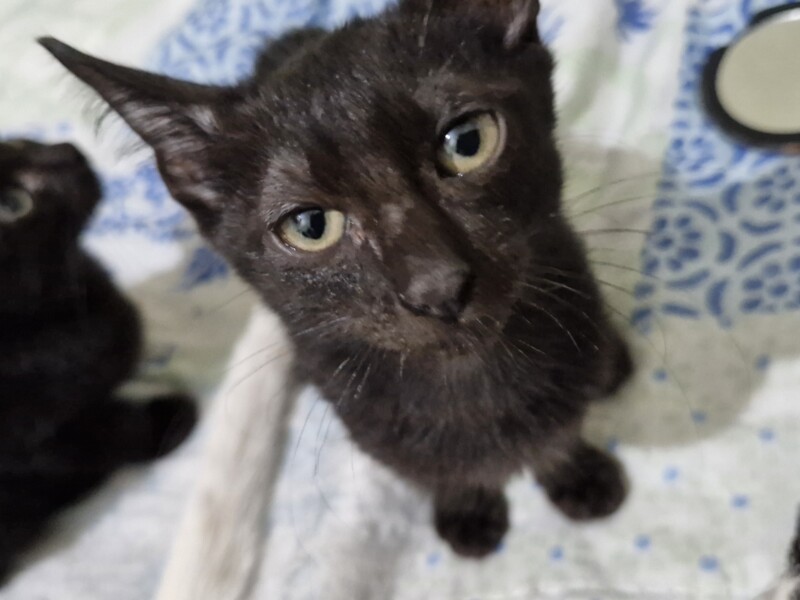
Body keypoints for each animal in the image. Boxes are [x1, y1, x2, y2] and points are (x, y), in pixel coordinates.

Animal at [0, 139, 197, 580]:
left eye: (17, 143)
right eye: (13, 203)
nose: (68, 151)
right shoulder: (39, 444)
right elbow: (114, 434)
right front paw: (171, 418)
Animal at [42, 0, 632, 556]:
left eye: (468, 141)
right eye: (310, 226)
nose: (437, 288)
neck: (470, 381)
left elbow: (561, 433)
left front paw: (576, 474)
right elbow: (437, 471)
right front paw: (466, 506)